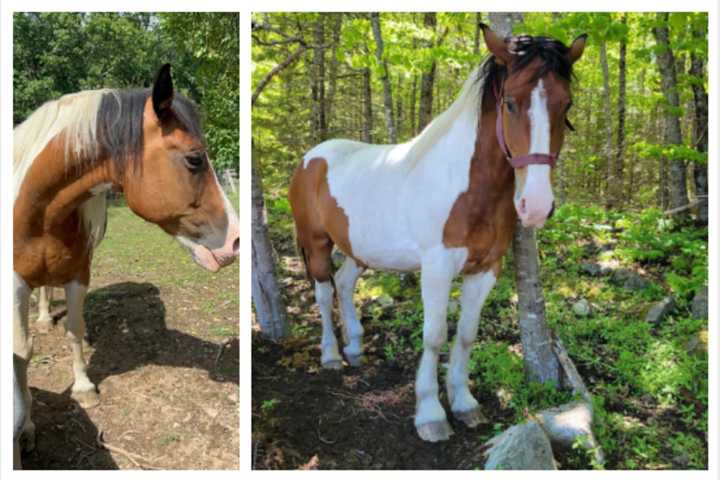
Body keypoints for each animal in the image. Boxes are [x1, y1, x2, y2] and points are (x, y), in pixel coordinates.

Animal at [13, 62, 239, 450]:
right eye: (194, 159)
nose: (237, 240)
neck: (37, 210)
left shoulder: (78, 273)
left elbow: (74, 329)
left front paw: (84, 387)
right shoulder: (13, 284)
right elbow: (21, 351)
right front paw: (25, 424)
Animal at [286, 26, 584, 442]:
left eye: (566, 105)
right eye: (510, 103)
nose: (537, 205)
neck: (468, 187)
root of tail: (310, 158)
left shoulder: (485, 270)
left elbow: (466, 334)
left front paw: (464, 403)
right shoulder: (437, 268)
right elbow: (435, 335)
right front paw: (430, 414)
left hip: (358, 249)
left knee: (344, 284)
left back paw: (356, 348)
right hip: (316, 243)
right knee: (323, 291)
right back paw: (330, 355)